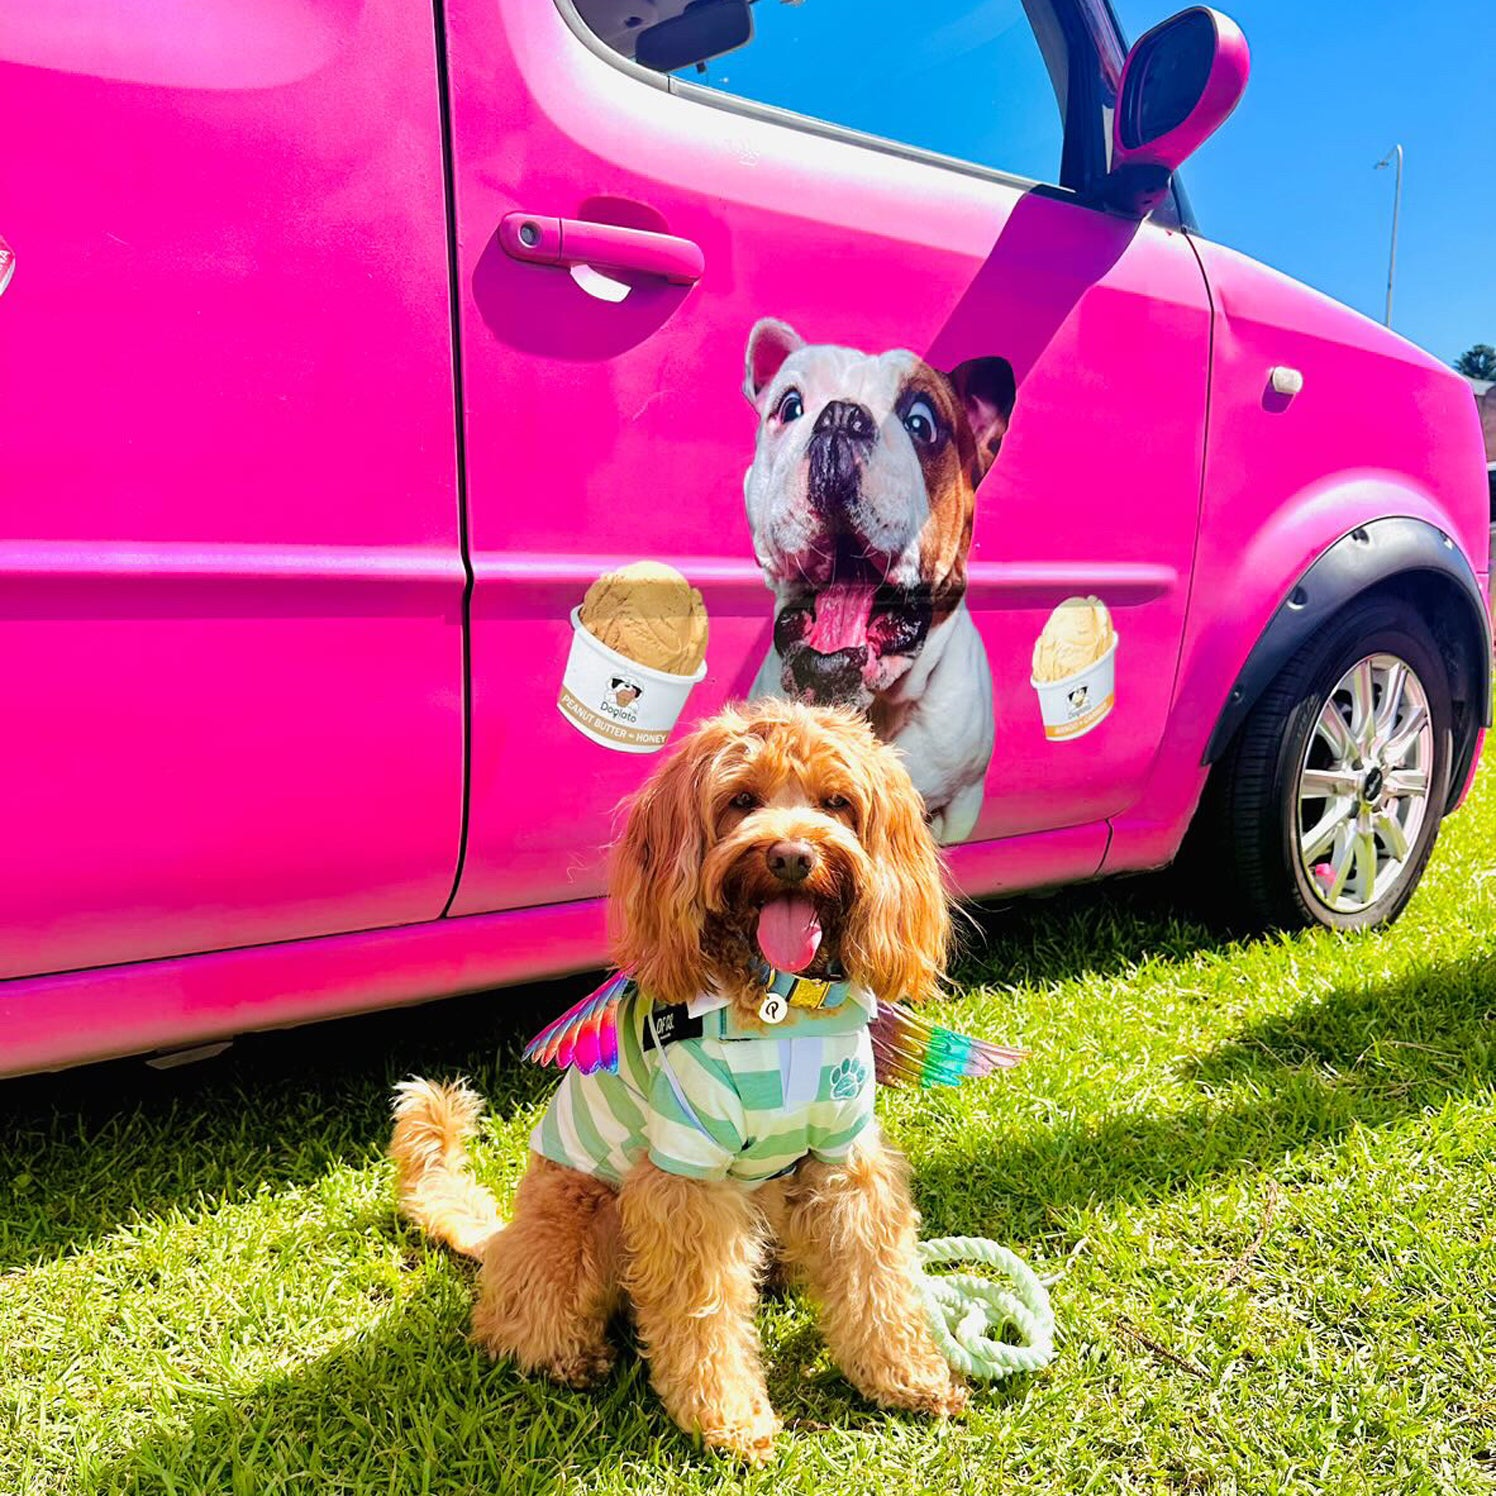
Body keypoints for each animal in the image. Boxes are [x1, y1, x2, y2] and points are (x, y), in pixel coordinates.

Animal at [391, 697, 963, 1460]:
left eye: (836, 802)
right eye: (741, 800)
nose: (791, 856)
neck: (779, 1006)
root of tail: (500, 1241)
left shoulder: (844, 1160)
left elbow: (877, 1278)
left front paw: (908, 1376)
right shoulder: (686, 1176)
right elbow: (703, 1308)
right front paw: (729, 1419)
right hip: (583, 1212)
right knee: (517, 1316)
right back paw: (566, 1355)